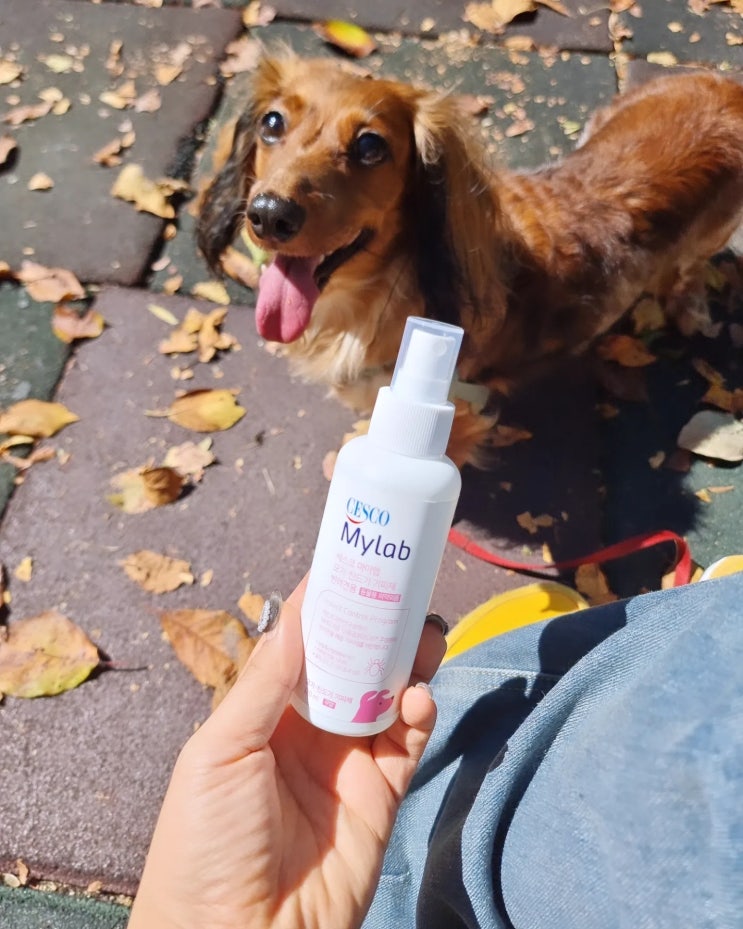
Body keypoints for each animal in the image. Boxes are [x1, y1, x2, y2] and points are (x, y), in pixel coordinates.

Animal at [197, 51, 743, 466]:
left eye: (370, 146)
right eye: (272, 123)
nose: (269, 215)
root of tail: (724, 85)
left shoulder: (460, 409)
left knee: (689, 270)